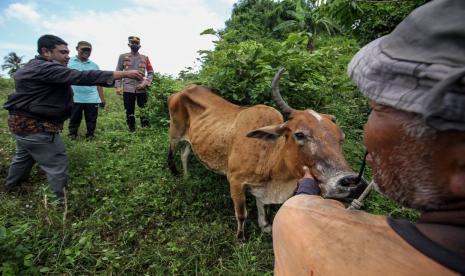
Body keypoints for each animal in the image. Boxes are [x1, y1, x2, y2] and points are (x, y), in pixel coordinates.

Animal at [167, 68, 366, 238]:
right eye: (299, 134)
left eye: (341, 138)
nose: (351, 183)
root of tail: (182, 90)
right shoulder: (235, 181)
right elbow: (241, 214)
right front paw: (240, 237)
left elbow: (261, 204)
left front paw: (264, 225)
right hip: (175, 131)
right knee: (171, 152)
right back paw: (175, 173)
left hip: (191, 139)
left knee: (185, 154)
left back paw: (186, 176)